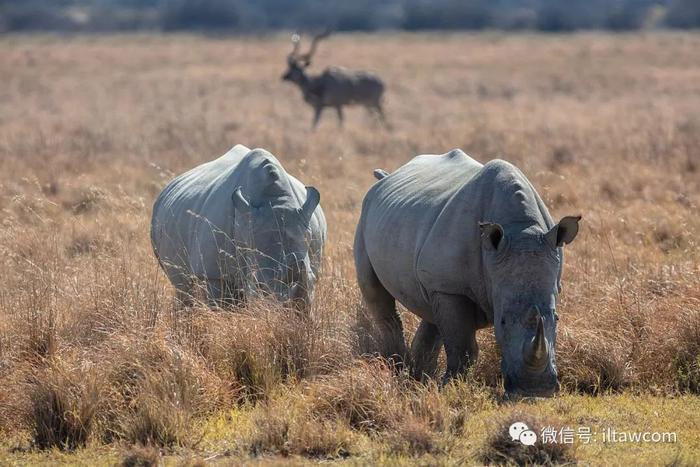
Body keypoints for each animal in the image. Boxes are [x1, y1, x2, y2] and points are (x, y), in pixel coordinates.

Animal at [150, 144, 326, 308]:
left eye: (312, 279)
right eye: (258, 284)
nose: (288, 307)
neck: (275, 199)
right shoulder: (213, 274)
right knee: (184, 288)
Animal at [356, 150, 580, 398]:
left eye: (557, 319)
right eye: (501, 321)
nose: (535, 390)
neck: (522, 229)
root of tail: (386, 177)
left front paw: (441, 386)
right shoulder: (450, 288)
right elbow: (462, 346)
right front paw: (449, 388)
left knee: (431, 311)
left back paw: (419, 379)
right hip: (366, 217)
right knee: (376, 294)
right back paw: (399, 371)